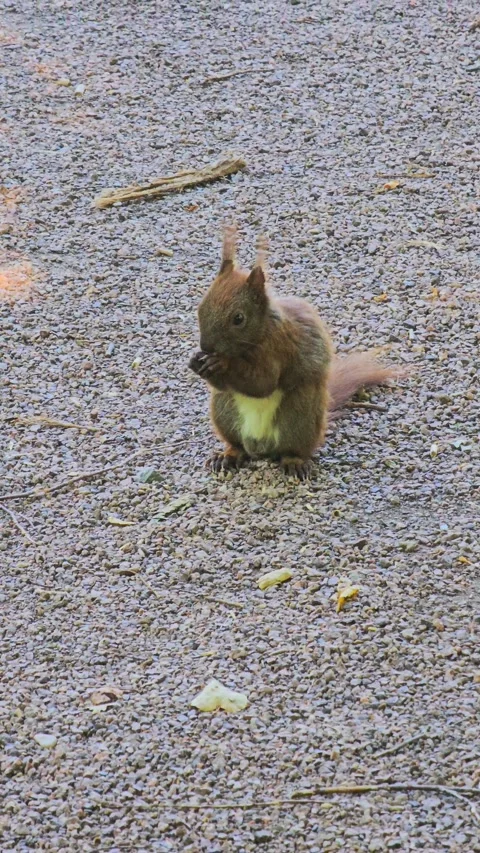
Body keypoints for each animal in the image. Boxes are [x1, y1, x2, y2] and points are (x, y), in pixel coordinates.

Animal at [189, 225, 401, 480]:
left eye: (238, 318)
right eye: (201, 306)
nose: (206, 347)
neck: (259, 335)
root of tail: (260, 447)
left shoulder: (279, 348)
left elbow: (263, 383)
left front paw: (222, 364)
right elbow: (225, 384)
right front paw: (196, 361)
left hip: (299, 416)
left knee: (293, 448)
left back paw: (294, 462)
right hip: (224, 411)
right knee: (237, 444)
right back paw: (227, 455)